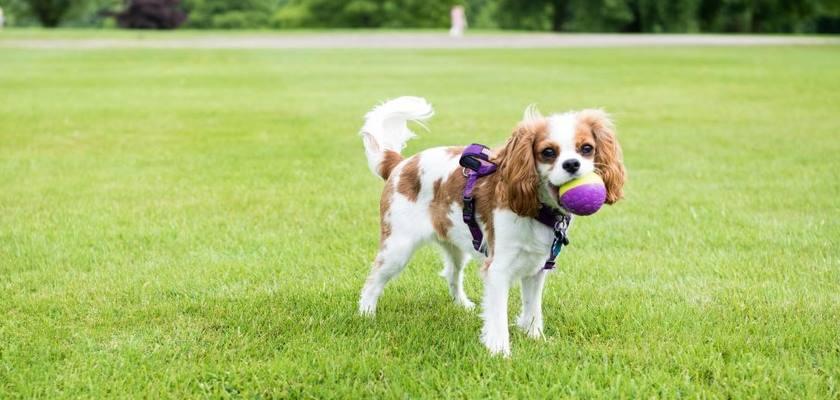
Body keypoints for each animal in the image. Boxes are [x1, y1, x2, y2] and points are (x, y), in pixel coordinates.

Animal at [354, 97, 624, 356]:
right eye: (548, 152)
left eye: (586, 149)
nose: (572, 164)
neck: (539, 210)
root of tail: (401, 164)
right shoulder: (497, 270)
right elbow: (497, 315)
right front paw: (499, 351)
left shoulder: (538, 267)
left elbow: (533, 307)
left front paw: (535, 337)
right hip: (397, 248)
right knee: (373, 280)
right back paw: (366, 314)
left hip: (455, 246)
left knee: (452, 273)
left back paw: (462, 305)